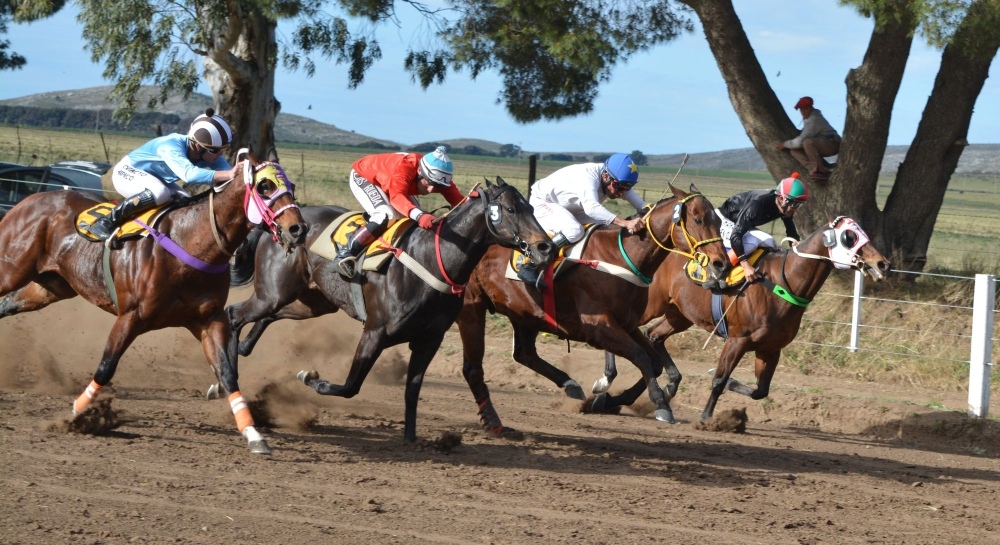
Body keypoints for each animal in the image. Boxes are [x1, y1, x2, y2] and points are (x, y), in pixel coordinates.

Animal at [0, 151, 308, 452]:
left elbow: (227, 373)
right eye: (265, 186)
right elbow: (106, 367)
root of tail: (29, 200)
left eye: (291, 187)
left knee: (7, 305)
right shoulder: (130, 317)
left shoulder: (208, 320)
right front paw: (77, 412)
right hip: (12, 269)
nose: (298, 229)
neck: (190, 242)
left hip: (50, 287)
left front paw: (253, 433)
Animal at [225, 175, 556, 442]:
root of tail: (277, 225)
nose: (546, 247)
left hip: (311, 301)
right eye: (511, 209)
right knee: (234, 315)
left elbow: (412, 390)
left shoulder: (429, 340)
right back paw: (228, 375)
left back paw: (242, 349)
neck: (430, 260)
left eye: (532, 209)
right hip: (275, 291)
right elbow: (350, 386)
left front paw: (411, 437)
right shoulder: (375, 332)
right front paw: (310, 378)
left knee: (263, 315)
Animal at [456, 181, 728, 436]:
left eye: (718, 220)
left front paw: (610, 399)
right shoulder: (598, 327)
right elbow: (641, 357)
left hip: (524, 313)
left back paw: (570, 384)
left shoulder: (627, 323)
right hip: (477, 304)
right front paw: (659, 404)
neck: (621, 257)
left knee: (525, 353)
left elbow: (653, 362)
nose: (721, 264)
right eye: (698, 219)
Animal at [592, 216, 892, 420]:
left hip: (679, 314)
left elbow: (760, 390)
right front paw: (706, 417)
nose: (883, 263)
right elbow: (718, 381)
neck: (784, 282)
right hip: (650, 305)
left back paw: (642, 393)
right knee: (623, 328)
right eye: (850, 236)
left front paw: (731, 386)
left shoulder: (770, 349)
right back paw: (606, 380)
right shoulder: (737, 340)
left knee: (654, 337)